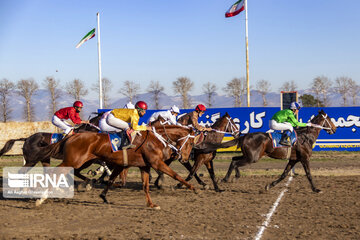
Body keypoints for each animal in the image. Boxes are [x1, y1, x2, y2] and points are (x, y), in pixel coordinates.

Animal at [34, 125, 197, 208]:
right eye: (190, 143)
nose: (184, 158)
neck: (154, 139)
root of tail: (71, 136)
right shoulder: (156, 163)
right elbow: (175, 174)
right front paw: (192, 187)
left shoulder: (144, 166)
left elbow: (145, 186)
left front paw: (151, 204)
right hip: (75, 161)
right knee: (55, 172)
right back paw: (43, 197)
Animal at [198, 109, 336, 193]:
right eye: (329, 118)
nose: (334, 129)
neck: (306, 137)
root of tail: (244, 136)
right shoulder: (304, 158)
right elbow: (308, 174)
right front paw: (316, 189)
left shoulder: (293, 159)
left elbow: (284, 174)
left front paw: (269, 185)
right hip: (253, 158)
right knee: (236, 163)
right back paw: (227, 179)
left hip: (248, 155)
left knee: (234, 159)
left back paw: (232, 177)